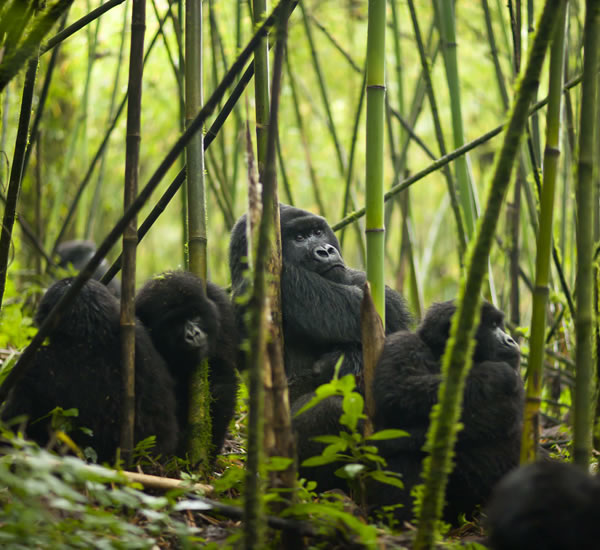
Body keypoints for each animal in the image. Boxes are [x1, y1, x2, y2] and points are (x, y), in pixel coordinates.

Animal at [370, 302, 524, 528]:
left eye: (499, 324)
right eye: (493, 326)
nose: (510, 339)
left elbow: (499, 417)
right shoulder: (402, 342)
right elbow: (399, 388)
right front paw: (495, 373)